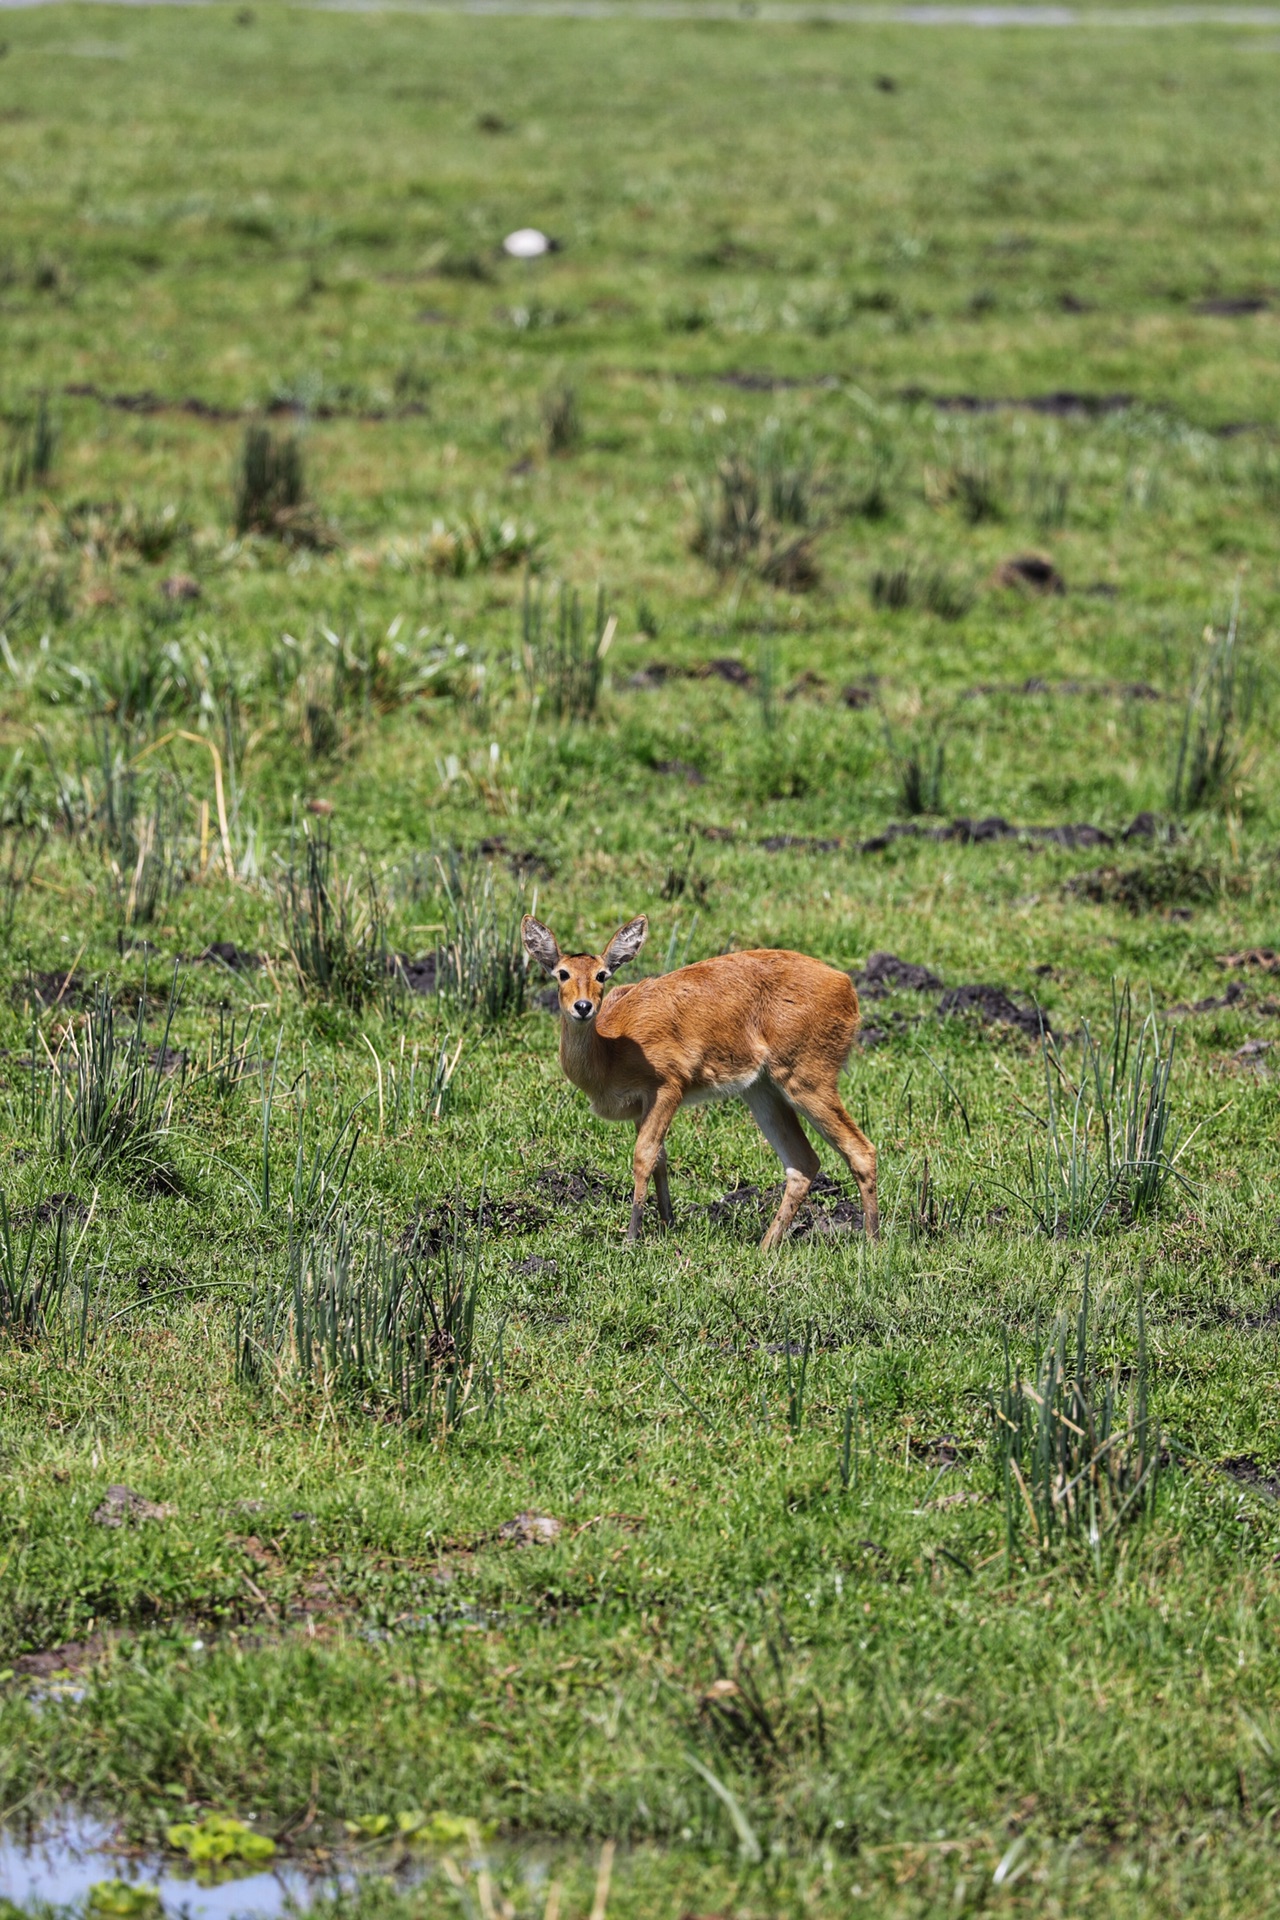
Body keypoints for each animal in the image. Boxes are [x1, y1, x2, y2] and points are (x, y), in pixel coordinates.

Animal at [521, 910, 882, 1244]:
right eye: (562, 973)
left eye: (601, 974)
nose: (583, 1007)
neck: (611, 1048)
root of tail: (845, 985)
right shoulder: (641, 1107)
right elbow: (660, 1158)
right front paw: (667, 1224)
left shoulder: (668, 1088)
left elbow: (644, 1156)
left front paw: (632, 1239)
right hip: (762, 1091)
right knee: (802, 1163)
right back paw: (765, 1247)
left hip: (807, 1081)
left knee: (860, 1150)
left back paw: (872, 1244)